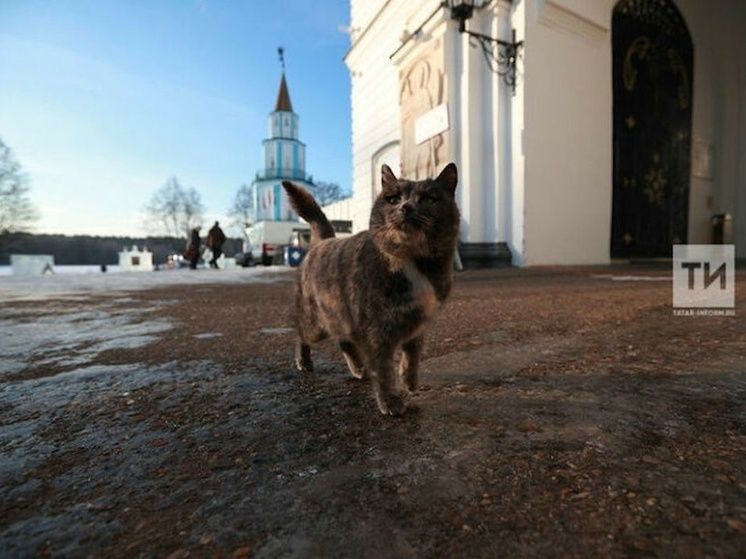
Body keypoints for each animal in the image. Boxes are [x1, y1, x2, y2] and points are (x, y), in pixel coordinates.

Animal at [282, 163, 456, 416]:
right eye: (393, 199)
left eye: (428, 198)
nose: (406, 207)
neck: (413, 261)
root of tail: (322, 241)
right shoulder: (376, 332)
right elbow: (383, 371)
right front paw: (391, 401)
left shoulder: (418, 325)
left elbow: (412, 356)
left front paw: (409, 382)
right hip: (316, 324)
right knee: (301, 333)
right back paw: (304, 362)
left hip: (342, 316)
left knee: (343, 341)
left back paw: (358, 369)